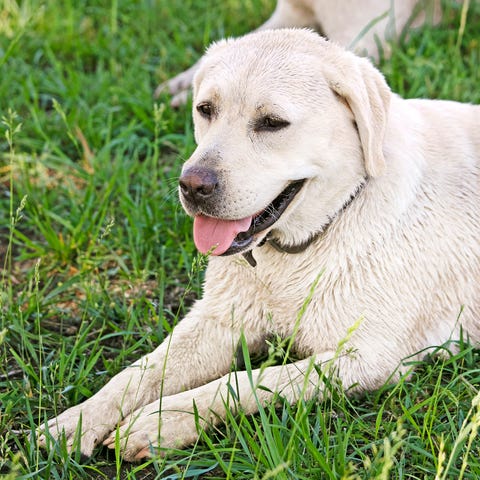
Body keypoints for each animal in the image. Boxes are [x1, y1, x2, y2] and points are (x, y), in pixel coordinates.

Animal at [43, 27, 478, 462]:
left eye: (272, 123)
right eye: (205, 109)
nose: (192, 186)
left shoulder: (367, 358)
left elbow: (245, 382)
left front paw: (161, 421)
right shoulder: (219, 318)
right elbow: (140, 372)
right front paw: (75, 422)